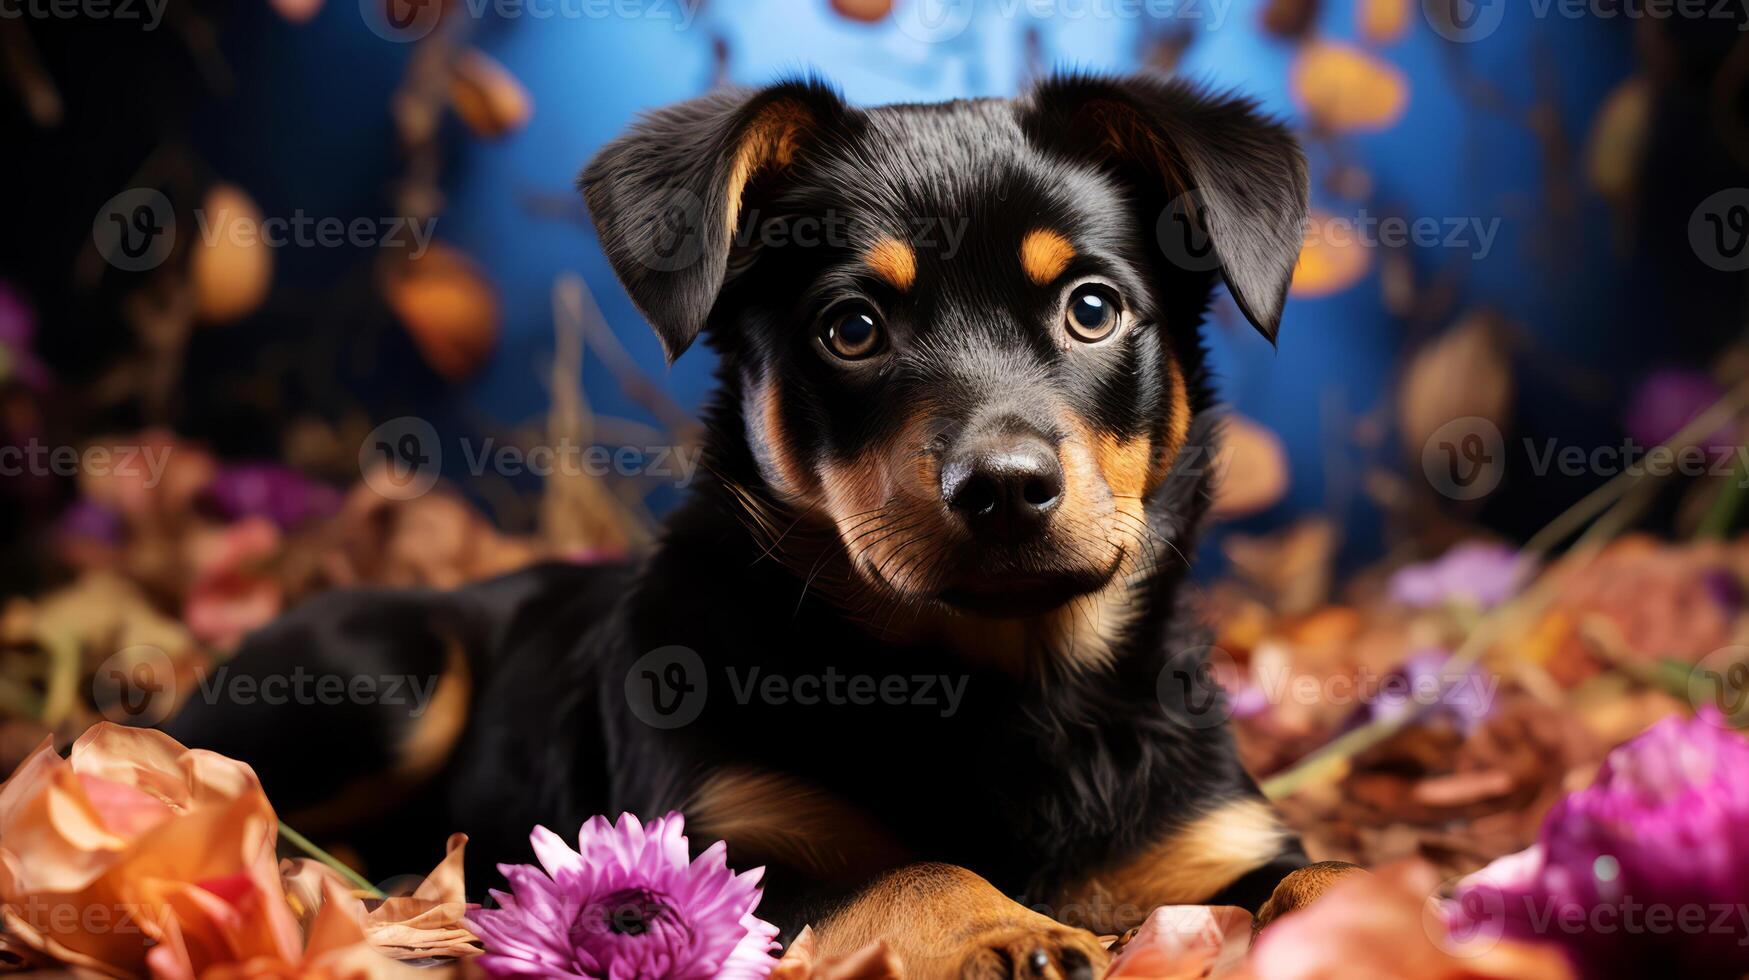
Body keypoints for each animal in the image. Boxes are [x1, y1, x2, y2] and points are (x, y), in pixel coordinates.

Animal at [174, 74, 1322, 973]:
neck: (1003, 680)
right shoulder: (716, 853)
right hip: (385, 678)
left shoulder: (1211, 840)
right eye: (851, 329)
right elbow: (917, 866)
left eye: (1092, 307)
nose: (1001, 487)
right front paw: (1013, 931)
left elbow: (1334, 875)